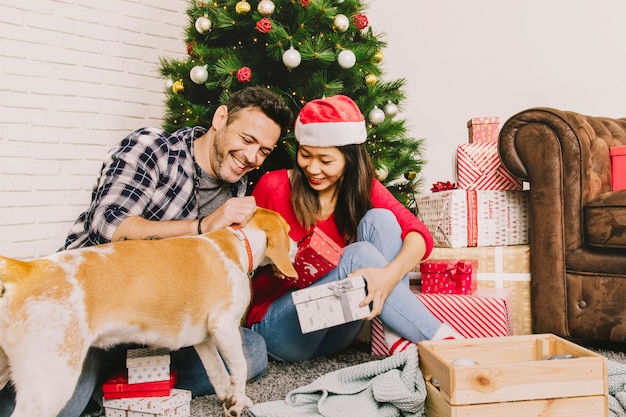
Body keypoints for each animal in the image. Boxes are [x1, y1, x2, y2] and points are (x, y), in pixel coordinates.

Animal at [0, 208, 296, 416]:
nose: (295, 245)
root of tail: (28, 270)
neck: (235, 243)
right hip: (52, 383)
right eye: (288, 230)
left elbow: (219, 374)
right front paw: (237, 403)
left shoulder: (205, 339)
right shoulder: (224, 327)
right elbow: (240, 367)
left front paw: (231, 399)